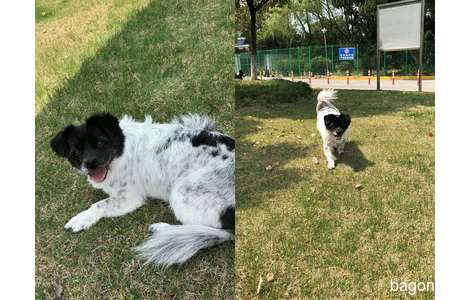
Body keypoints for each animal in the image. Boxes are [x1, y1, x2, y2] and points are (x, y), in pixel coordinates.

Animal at [50, 113, 235, 268]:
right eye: (76, 151)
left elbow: (99, 205)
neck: (122, 149)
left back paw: (164, 229)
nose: (90, 164)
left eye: (101, 142)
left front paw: (79, 219)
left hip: (181, 194)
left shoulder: (129, 198)